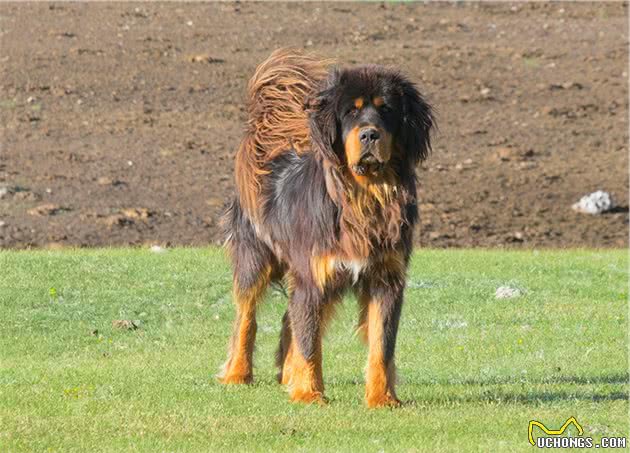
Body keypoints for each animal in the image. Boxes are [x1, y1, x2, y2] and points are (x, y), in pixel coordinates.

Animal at [218, 48, 434, 406]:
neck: (364, 197)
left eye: (387, 110)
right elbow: (310, 343)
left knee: (289, 319)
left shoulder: (386, 279)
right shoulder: (313, 276)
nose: (369, 134)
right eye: (351, 112)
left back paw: (287, 374)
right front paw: (309, 393)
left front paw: (382, 399)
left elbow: (382, 345)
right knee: (246, 317)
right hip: (256, 259)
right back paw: (237, 373)